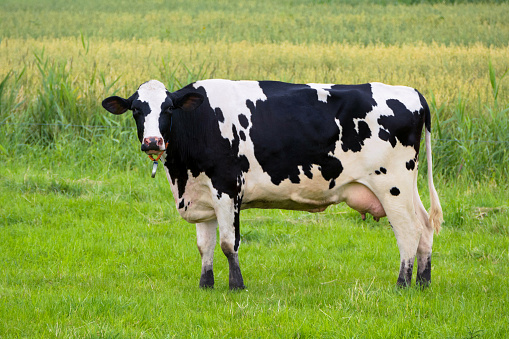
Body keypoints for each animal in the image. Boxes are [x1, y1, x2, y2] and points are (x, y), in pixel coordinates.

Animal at [102, 79, 440, 290]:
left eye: (168, 108)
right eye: (136, 109)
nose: (152, 142)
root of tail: (412, 92)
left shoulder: (227, 188)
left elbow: (228, 243)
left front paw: (236, 286)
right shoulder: (201, 193)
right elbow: (204, 246)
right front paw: (206, 285)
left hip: (392, 184)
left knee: (409, 230)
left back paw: (402, 284)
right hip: (407, 186)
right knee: (425, 227)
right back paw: (423, 283)